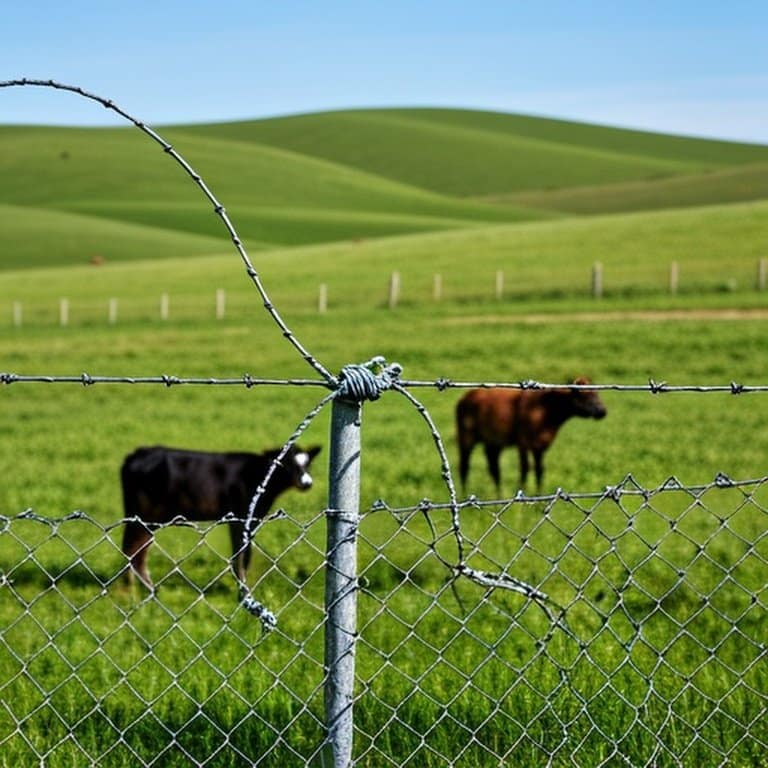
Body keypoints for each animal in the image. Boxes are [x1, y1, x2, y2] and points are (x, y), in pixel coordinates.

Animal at [120, 444, 321, 590]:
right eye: (287, 464)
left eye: (308, 464)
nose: (307, 483)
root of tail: (136, 454)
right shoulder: (241, 517)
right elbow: (242, 553)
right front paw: (243, 589)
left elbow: (242, 553)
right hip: (144, 515)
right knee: (134, 550)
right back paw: (140, 590)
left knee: (134, 550)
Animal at [456, 378, 606, 493]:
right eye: (585, 395)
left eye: (597, 393)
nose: (602, 410)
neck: (546, 409)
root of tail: (465, 397)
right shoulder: (523, 442)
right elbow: (525, 468)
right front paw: (523, 494)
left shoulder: (540, 445)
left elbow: (540, 470)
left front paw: (538, 498)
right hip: (466, 436)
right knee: (464, 466)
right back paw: (464, 494)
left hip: (493, 443)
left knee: (494, 469)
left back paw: (499, 496)